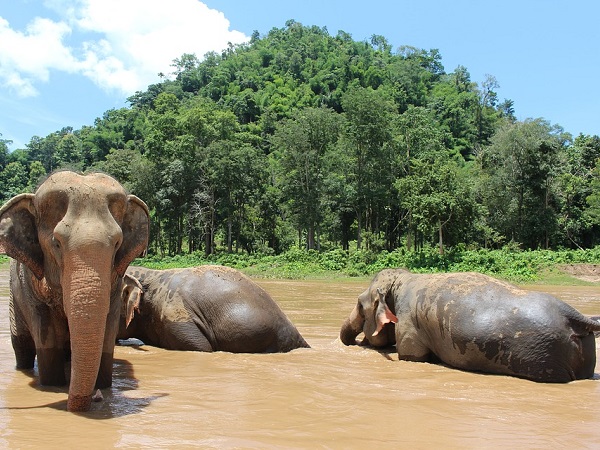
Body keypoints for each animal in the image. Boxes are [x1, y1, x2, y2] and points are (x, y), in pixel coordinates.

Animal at [0, 171, 149, 412]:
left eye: (117, 244)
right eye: (57, 243)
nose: (97, 398)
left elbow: (107, 330)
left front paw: (103, 387)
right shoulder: (29, 285)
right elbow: (45, 334)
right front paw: (53, 385)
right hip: (15, 301)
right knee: (21, 347)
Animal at [340, 268, 600, 382]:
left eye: (360, 306)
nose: (355, 342)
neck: (403, 278)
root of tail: (574, 316)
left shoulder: (409, 325)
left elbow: (412, 357)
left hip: (546, 357)